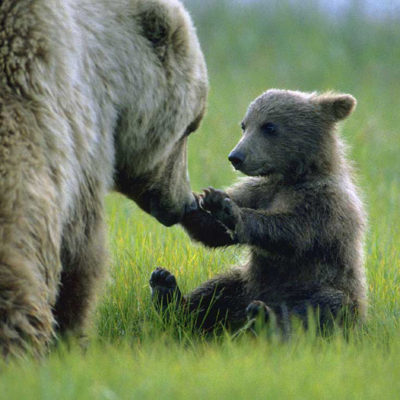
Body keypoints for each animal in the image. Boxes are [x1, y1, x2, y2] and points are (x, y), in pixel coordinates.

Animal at [149, 89, 366, 332]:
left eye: (269, 126)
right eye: (244, 125)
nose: (236, 157)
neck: (292, 176)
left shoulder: (324, 203)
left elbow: (291, 233)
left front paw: (228, 210)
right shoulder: (258, 191)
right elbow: (213, 232)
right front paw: (190, 198)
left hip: (330, 290)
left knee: (323, 305)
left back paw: (266, 317)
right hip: (245, 285)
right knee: (217, 291)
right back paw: (167, 292)